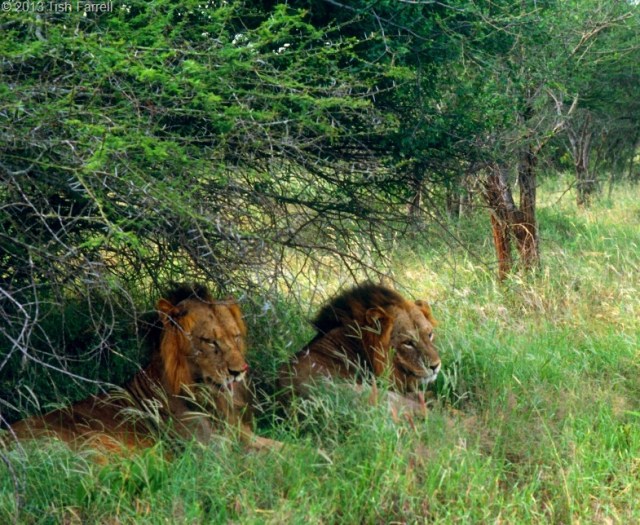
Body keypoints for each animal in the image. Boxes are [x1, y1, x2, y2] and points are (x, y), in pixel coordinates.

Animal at [8, 284, 278, 452]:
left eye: (235, 337)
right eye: (209, 341)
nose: (240, 370)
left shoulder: (244, 436)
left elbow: (284, 448)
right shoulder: (215, 453)